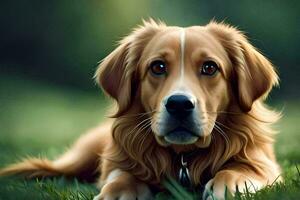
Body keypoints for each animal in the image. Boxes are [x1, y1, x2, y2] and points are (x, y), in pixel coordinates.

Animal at [0, 19, 282, 200]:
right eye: (157, 67)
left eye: (210, 67)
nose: (179, 104)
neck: (183, 157)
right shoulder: (117, 162)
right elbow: (121, 175)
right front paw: (116, 192)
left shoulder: (263, 162)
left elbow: (238, 169)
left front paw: (229, 185)